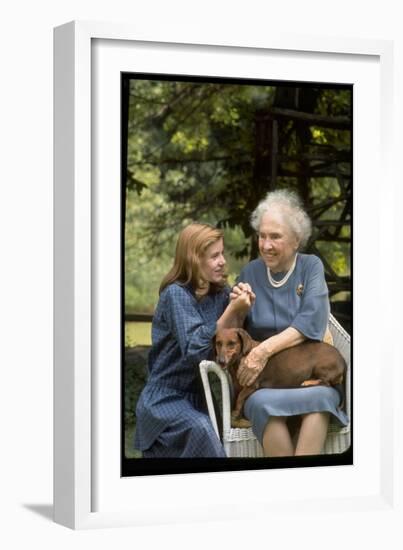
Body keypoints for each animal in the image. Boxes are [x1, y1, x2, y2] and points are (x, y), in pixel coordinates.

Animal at [215, 330, 348, 430]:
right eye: (218, 343)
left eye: (232, 343)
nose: (220, 361)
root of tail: (343, 360)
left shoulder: (251, 385)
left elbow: (240, 398)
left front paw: (236, 413)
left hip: (320, 367)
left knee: (326, 383)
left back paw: (308, 382)